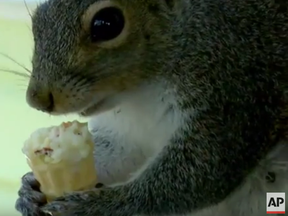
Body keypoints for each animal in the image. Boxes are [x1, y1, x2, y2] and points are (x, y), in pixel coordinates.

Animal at [15, 0, 288, 216]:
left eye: (107, 24)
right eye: (37, 21)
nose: (36, 99)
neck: (140, 95)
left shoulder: (230, 91)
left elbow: (203, 171)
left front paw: (97, 206)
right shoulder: (124, 132)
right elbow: (116, 153)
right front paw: (28, 189)